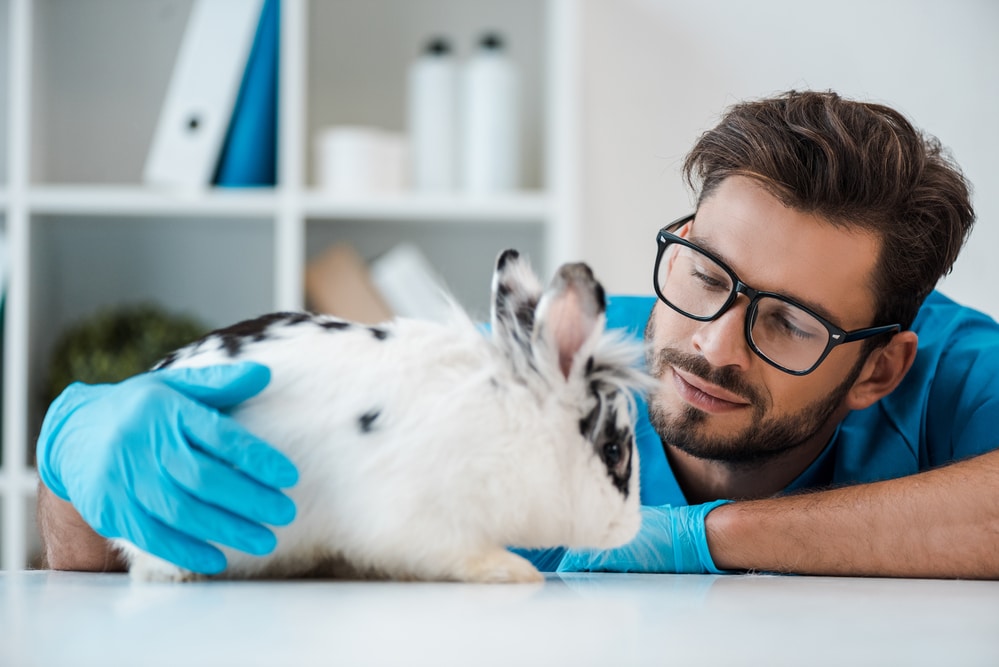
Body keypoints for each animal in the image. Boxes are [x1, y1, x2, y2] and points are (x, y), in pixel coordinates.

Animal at [117, 250, 652, 584]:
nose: (630, 529)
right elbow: (456, 555)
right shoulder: (425, 521)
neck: (521, 427)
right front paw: (515, 572)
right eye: (613, 451)